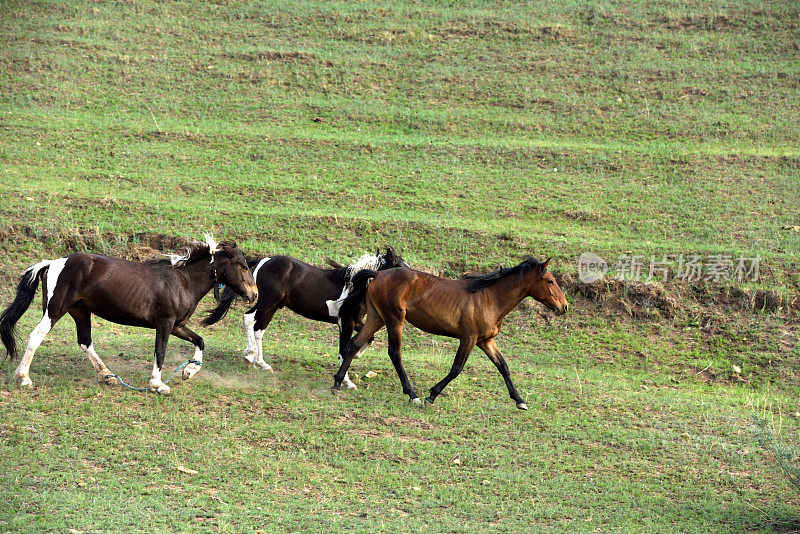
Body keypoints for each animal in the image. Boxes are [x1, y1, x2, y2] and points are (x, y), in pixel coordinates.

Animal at [0, 237, 256, 396]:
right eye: (243, 266)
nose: (254, 294)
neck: (182, 281)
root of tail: (55, 263)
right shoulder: (165, 324)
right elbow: (160, 352)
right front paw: (158, 385)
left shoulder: (177, 325)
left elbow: (200, 341)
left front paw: (189, 371)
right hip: (55, 310)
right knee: (36, 336)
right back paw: (24, 377)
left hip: (80, 312)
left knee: (85, 342)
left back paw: (108, 376)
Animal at [203, 247, 410, 390]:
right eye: (399, 266)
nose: (411, 282)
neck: (355, 286)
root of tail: (264, 260)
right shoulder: (346, 322)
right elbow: (344, 349)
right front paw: (347, 382)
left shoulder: (357, 321)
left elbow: (368, 339)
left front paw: (356, 357)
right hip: (267, 301)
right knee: (249, 319)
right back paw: (249, 355)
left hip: (273, 306)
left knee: (259, 328)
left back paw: (261, 363)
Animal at [334, 258, 572, 410]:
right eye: (550, 281)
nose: (564, 307)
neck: (490, 298)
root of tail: (378, 273)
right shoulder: (469, 338)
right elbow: (457, 368)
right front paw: (431, 395)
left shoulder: (486, 341)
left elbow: (503, 367)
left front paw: (520, 400)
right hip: (394, 320)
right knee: (394, 353)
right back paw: (412, 394)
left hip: (377, 317)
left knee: (354, 344)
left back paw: (337, 383)